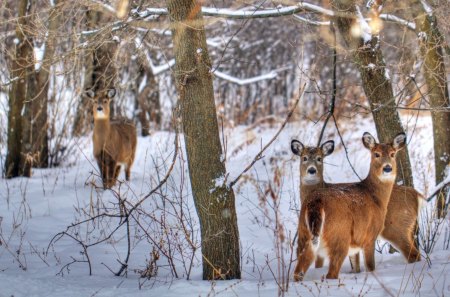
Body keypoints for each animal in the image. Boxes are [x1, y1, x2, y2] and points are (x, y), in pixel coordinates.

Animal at [292, 138, 422, 274]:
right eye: (304, 158)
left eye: (319, 158)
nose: (311, 170)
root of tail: (416, 194)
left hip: (396, 227)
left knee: (413, 254)